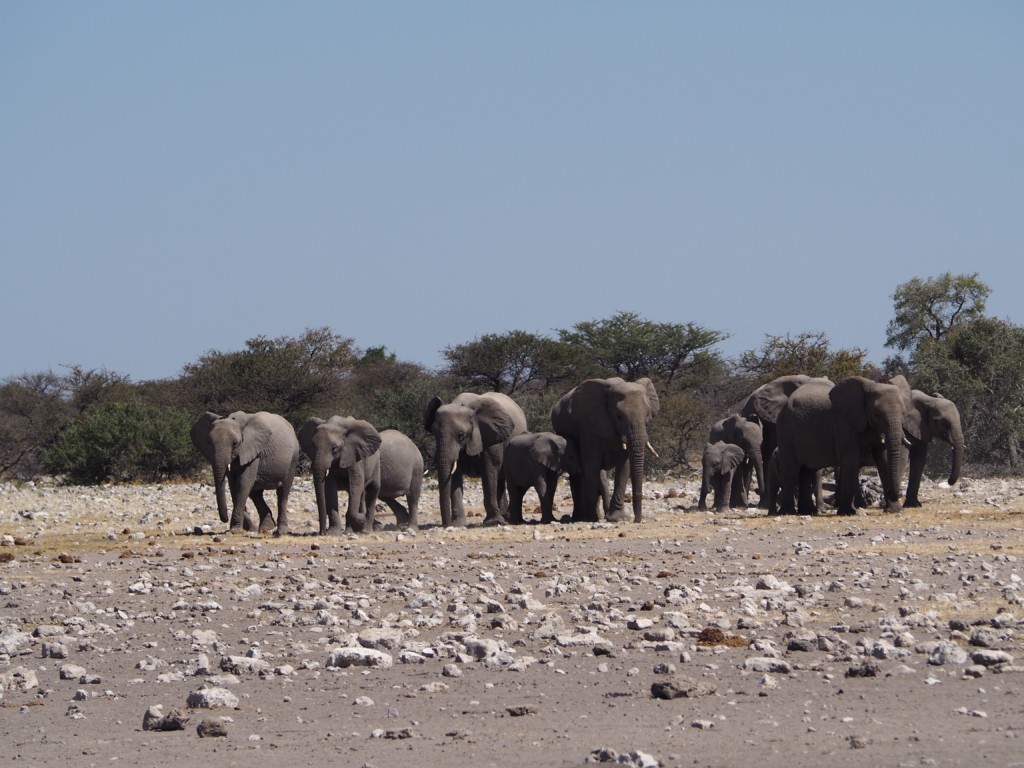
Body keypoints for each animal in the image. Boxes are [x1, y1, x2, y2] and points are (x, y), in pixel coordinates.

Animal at [423, 393, 528, 528]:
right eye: (434, 434)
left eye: (461, 435)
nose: (446, 525)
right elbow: (455, 476)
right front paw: (458, 524)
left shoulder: (490, 437)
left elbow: (489, 471)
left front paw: (493, 522)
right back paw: (504, 515)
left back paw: (506, 517)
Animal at [774, 376, 913, 518]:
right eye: (876, 414)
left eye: (903, 414)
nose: (892, 492)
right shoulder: (844, 425)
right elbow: (851, 460)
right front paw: (848, 512)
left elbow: (883, 459)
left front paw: (894, 510)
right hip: (785, 431)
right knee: (791, 470)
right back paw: (788, 512)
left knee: (807, 472)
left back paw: (808, 511)